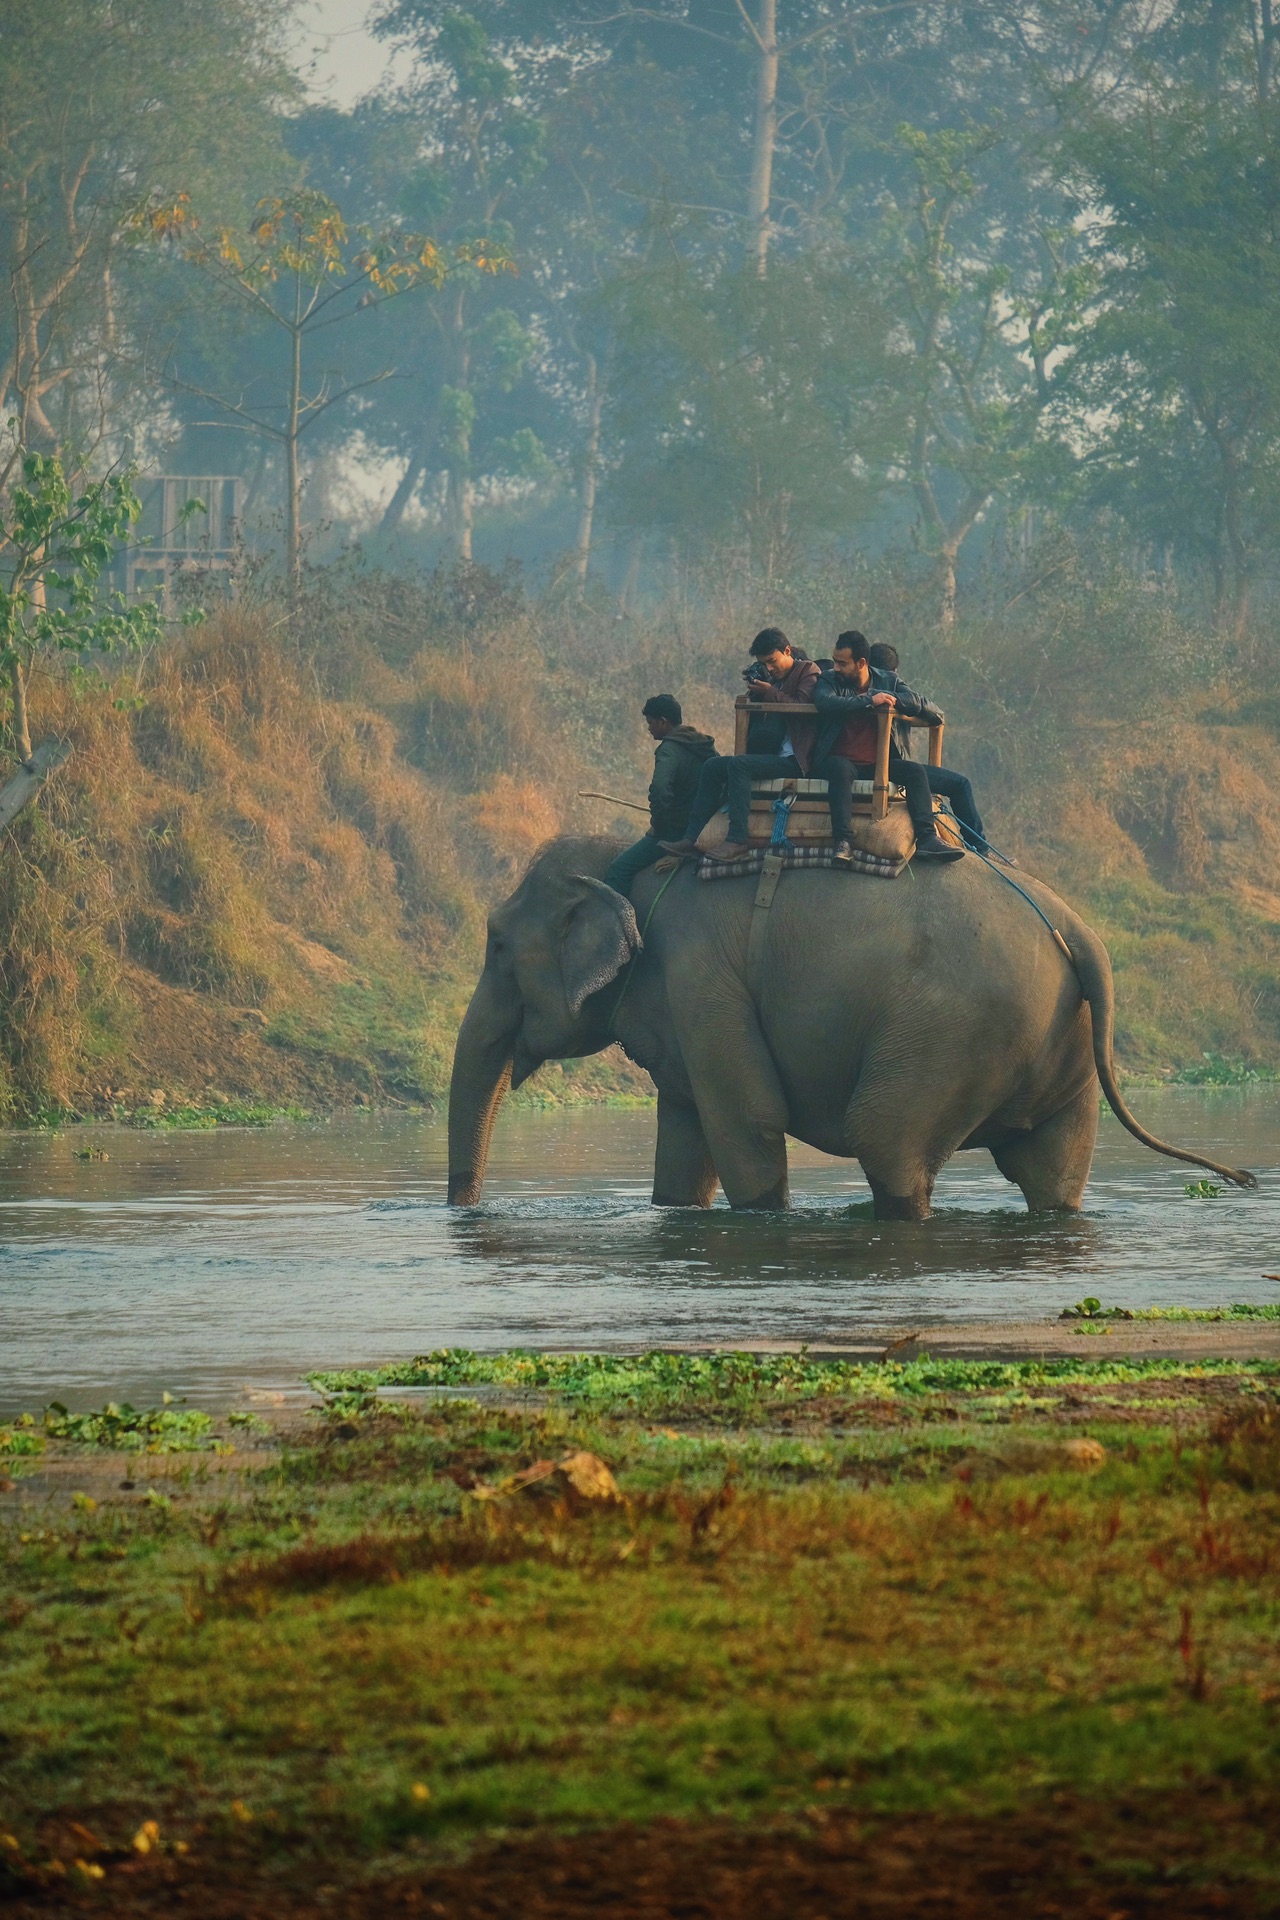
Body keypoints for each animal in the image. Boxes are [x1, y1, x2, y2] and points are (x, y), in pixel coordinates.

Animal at [445, 837, 1258, 1221]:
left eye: (495, 946)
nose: (465, 1208)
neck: (631, 858)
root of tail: (1078, 932)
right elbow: (684, 1143)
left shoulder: (700, 976)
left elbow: (747, 1122)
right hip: (1060, 1049)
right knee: (1051, 1169)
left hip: (948, 1033)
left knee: (888, 1139)